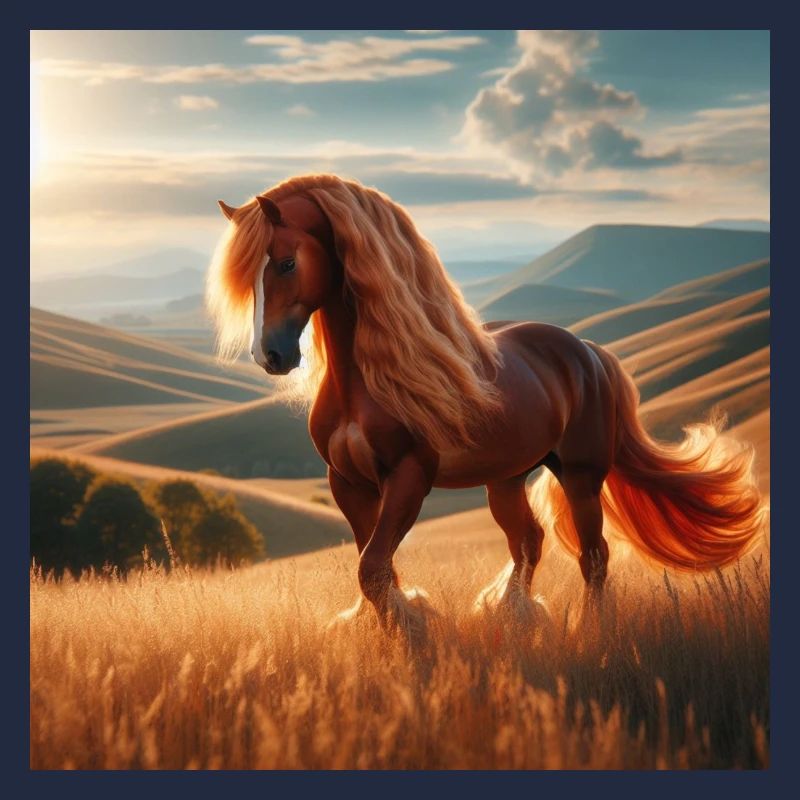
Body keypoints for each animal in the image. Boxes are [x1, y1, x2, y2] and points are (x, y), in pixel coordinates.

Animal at [207, 173, 766, 635]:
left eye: (286, 262)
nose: (270, 355)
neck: (361, 382)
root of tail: (589, 351)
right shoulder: (347, 482)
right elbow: (376, 570)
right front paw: (394, 633)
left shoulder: (409, 477)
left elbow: (373, 569)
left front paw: (413, 631)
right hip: (507, 477)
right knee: (529, 540)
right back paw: (514, 615)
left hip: (581, 475)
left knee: (593, 556)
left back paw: (590, 629)